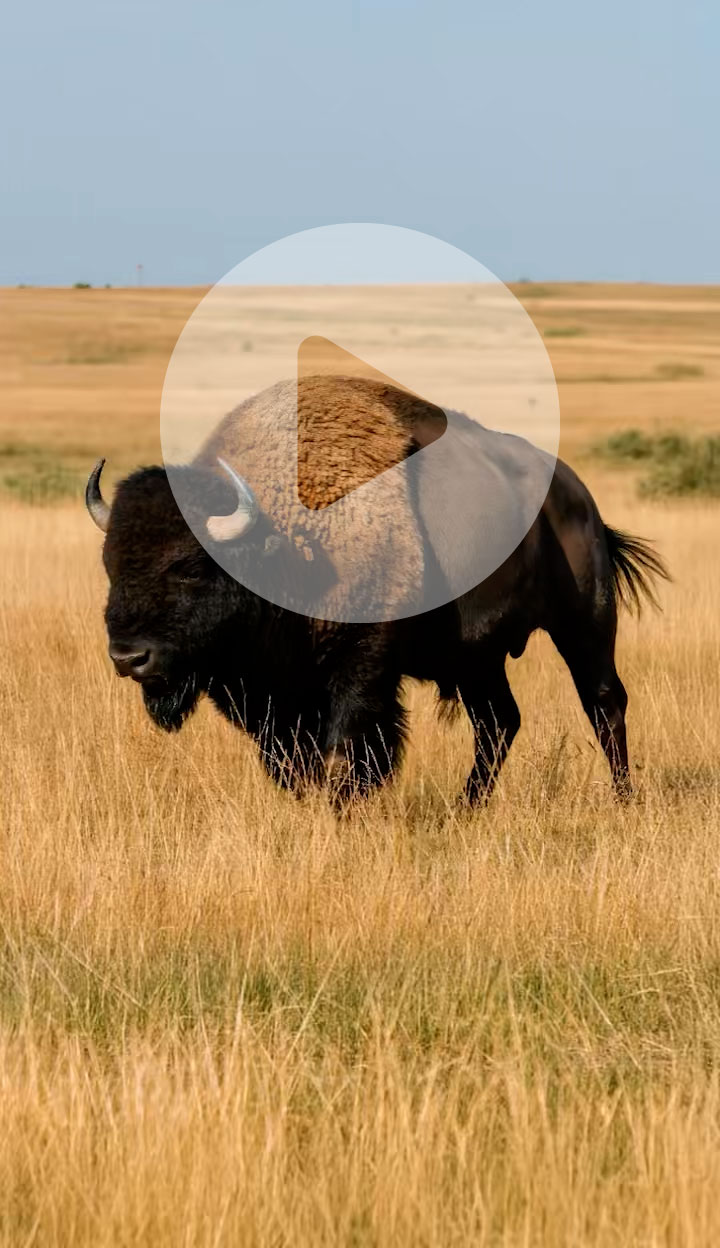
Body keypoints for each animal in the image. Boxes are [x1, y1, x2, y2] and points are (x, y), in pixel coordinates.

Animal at [86, 375, 668, 804]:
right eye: (110, 566)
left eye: (189, 567)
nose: (128, 657)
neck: (288, 534)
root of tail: (580, 499)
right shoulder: (275, 696)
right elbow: (292, 763)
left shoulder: (362, 665)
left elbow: (348, 753)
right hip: (477, 658)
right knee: (499, 722)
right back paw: (466, 808)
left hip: (585, 623)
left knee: (603, 703)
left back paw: (622, 799)